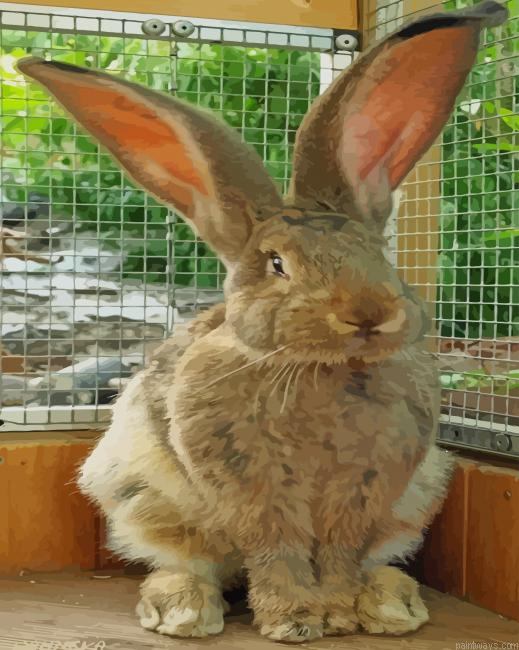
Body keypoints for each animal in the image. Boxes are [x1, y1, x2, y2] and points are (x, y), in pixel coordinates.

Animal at [18, 0, 507, 642]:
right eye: (277, 264)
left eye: (379, 252)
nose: (368, 313)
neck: (319, 369)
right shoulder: (252, 484)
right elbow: (279, 549)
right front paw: (295, 620)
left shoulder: (368, 487)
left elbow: (340, 551)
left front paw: (340, 613)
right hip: (139, 495)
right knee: (186, 562)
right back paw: (183, 609)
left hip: (414, 501)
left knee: (375, 560)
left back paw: (390, 604)